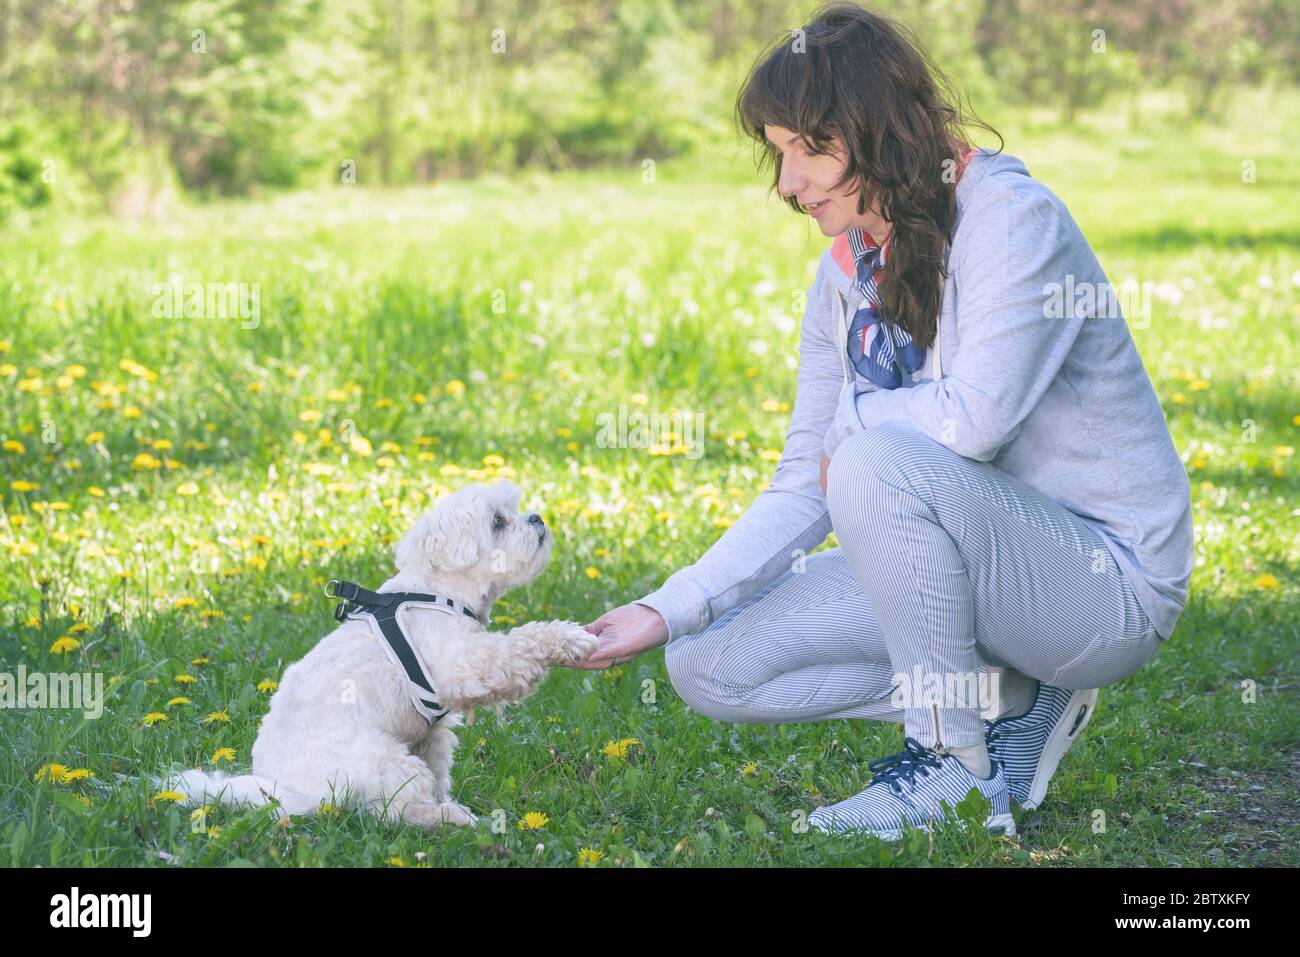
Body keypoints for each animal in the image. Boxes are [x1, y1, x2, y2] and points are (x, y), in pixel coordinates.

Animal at [165, 481, 600, 826]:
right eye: (497, 521)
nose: (537, 518)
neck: (439, 591)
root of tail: (283, 792)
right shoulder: (460, 667)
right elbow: (519, 643)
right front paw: (570, 638)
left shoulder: (429, 736)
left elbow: (440, 771)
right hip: (387, 762)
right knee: (390, 812)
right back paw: (450, 819)